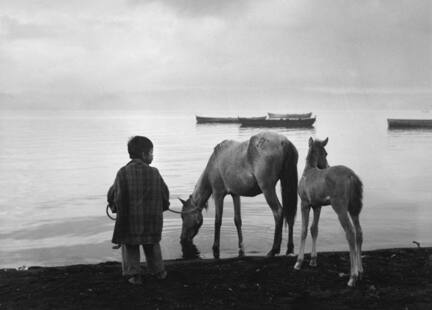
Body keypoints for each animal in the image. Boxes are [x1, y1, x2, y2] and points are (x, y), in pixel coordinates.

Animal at [296, 138, 362, 288]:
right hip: (354, 209)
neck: (308, 171)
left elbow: (303, 230)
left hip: (340, 208)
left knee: (350, 233)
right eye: (325, 153)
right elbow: (314, 229)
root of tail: (351, 175)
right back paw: (361, 270)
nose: (327, 165)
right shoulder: (317, 206)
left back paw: (353, 277)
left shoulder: (304, 204)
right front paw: (313, 260)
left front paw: (298, 262)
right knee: (359, 232)